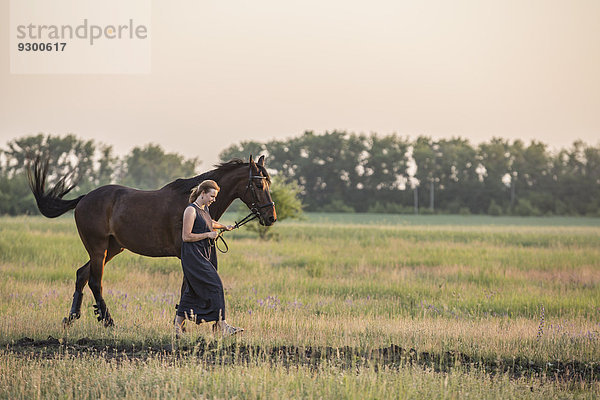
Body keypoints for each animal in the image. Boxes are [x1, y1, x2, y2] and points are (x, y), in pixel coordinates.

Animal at [29, 155, 278, 326]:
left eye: (268, 183)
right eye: (258, 185)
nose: (271, 217)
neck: (190, 202)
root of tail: (84, 199)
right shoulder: (184, 253)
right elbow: (187, 287)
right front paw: (182, 322)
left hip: (113, 248)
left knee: (82, 274)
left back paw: (72, 317)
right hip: (98, 248)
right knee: (95, 281)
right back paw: (108, 321)